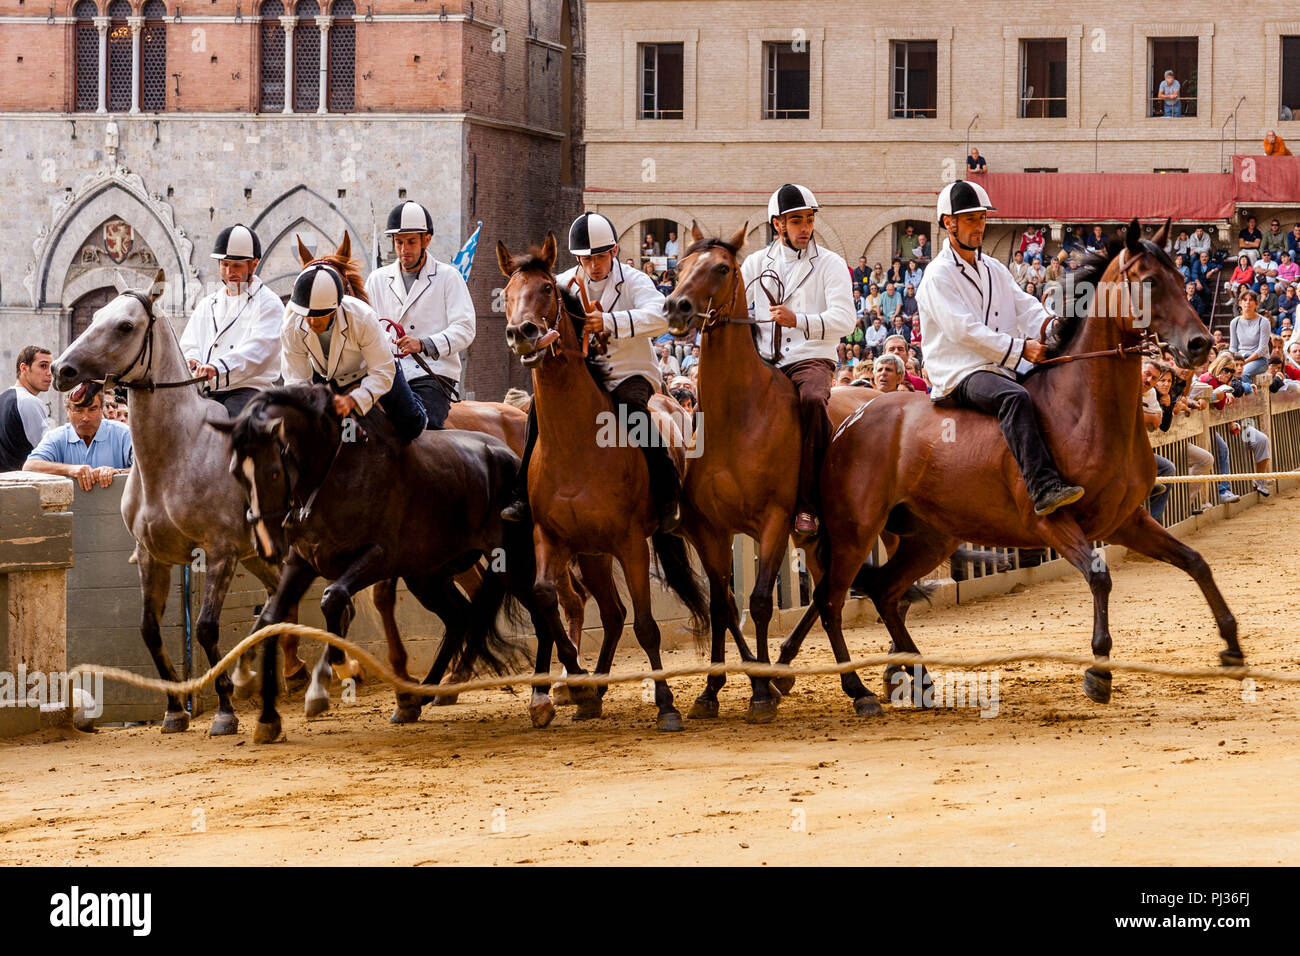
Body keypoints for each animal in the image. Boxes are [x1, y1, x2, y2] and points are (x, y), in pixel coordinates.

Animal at [50, 273, 291, 735]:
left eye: (125, 326)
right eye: (97, 314)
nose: (60, 370)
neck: (178, 452)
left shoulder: (219, 553)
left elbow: (206, 629)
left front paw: (225, 710)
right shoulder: (153, 556)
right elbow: (150, 631)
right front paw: (176, 709)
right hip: (260, 555)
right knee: (276, 599)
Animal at [210, 383, 601, 741]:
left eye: (274, 471)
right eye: (236, 472)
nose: (264, 544)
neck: (331, 475)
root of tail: (510, 456)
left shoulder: (377, 556)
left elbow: (333, 600)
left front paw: (331, 674)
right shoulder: (302, 561)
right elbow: (271, 620)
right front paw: (263, 710)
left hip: (510, 562)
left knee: (543, 614)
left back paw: (553, 694)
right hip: (428, 574)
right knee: (460, 617)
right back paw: (422, 695)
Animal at [497, 233, 710, 732]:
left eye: (547, 290)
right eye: (508, 294)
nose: (522, 333)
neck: (576, 443)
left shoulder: (630, 542)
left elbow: (647, 626)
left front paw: (666, 703)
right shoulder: (548, 536)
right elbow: (545, 598)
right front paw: (571, 681)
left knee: (631, 613)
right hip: (591, 554)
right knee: (611, 615)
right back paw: (590, 690)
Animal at [661, 223, 886, 720]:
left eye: (721, 268)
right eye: (680, 266)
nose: (675, 306)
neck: (738, 415)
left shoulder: (774, 522)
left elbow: (761, 602)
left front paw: (761, 692)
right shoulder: (711, 530)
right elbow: (723, 606)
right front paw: (711, 692)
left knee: (833, 597)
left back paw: (858, 686)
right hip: (818, 539)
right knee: (825, 598)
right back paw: (799, 670)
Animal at [807, 217, 1241, 711]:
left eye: (1182, 281)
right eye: (1149, 282)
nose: (1200, 344)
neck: (1082, 409)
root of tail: (850, 421)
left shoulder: (1127, 521)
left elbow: (1195, 562)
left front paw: (1231, 646)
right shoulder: (1050, 523)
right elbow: (1100, 577)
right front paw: (1098, 671)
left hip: (930, 538)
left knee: (883, 591)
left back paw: (916, 677)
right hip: (854, 533)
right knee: (830, 601)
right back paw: (858, 690)